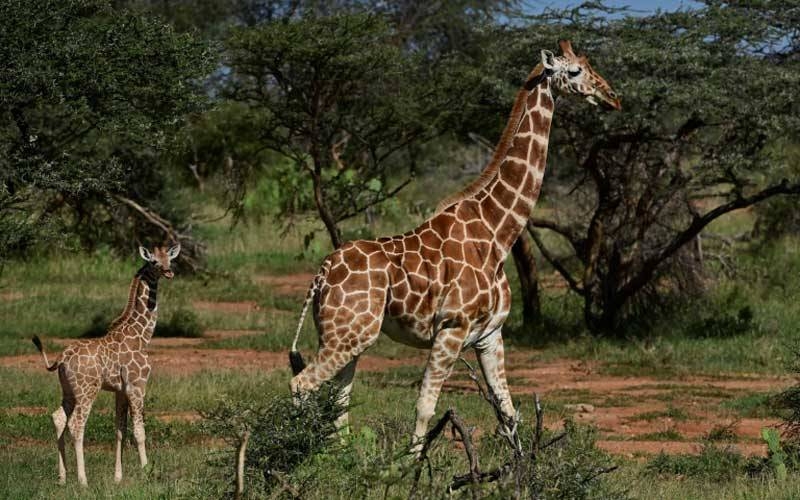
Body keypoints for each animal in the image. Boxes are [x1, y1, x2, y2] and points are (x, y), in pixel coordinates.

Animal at [32, 244, 180, 486]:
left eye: (170, 258)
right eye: (154, 262)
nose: (169, 272)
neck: (142, 335)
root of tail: (62, 357)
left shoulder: (120, 390)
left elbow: (120, 430)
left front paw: (118, 477)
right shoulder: (137, 385)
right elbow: (139, 431)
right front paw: (146, 473)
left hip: (68, 390)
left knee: (58, 418)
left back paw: (63, 478)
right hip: (87, 390)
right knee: (76, 424)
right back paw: (83, 480)